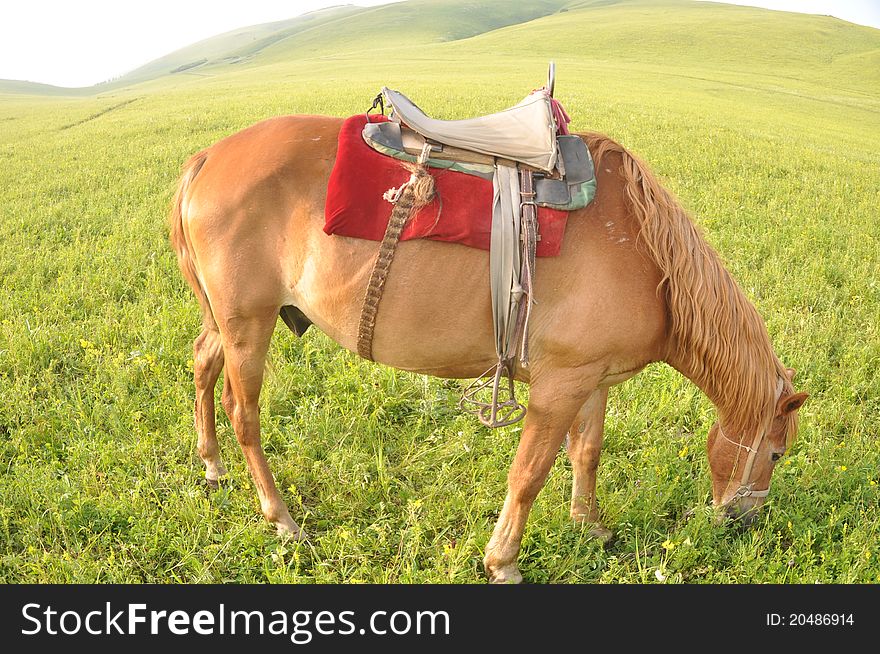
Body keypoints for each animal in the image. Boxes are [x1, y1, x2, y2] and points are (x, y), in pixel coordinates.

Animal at [168, 111, 808, 584]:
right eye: (777, 454)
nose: (743, 521)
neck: (648, 257)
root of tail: (209, 158)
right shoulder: (559, 385)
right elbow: (529, 473)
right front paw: (503, 561)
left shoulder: (592, 379)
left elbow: (587, 454)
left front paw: (591, 527)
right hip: (249, 325)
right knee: (244, 413)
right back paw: (281, 519)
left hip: (226, 322)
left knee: (203, 364)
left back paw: (212, 464)